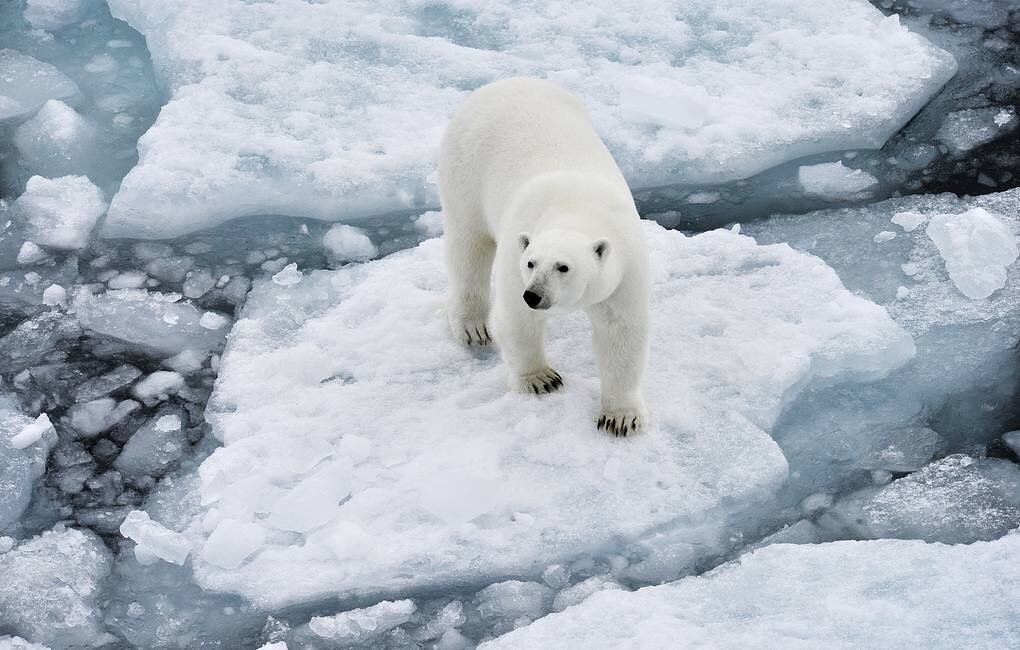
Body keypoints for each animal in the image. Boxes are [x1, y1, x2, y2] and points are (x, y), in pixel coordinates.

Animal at [436, 77, 644, 436]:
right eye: (531, 263)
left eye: (564, 267)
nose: (533, 295)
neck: (576, 209)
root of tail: (499, 84)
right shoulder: (515, 259)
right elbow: (517, 320)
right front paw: (541, 379)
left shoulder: (624, 270)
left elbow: (621, 332)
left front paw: (619, 418)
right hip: (465, 169)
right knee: (469, 247)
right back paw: (473, 327)